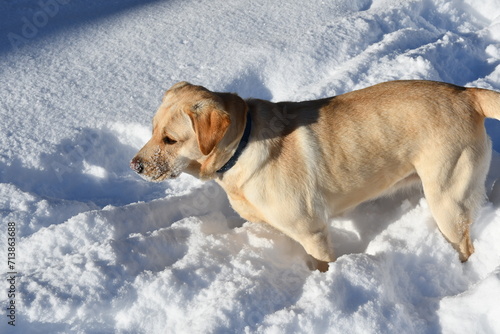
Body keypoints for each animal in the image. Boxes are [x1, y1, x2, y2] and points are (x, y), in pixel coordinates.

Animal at [132, 80, 500, 272]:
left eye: (170, 139)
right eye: (152, 130)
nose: (134, 165)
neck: (242, 145)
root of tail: (466, 92)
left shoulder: (312, 231)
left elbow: (322, 261)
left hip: (447, 199)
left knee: (465, 243)